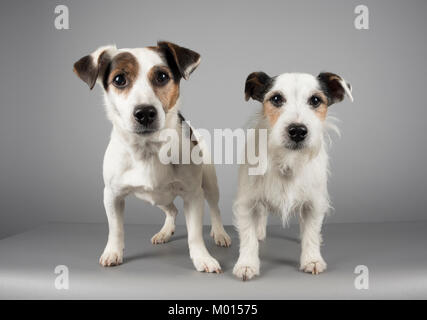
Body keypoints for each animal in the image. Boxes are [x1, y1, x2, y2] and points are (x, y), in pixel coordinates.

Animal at [75, 40, 232, 272]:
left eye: (162, 76)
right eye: (119, 79)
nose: (145, 113)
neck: (148, 149)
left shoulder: (193, 195)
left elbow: (195, 234)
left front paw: (202, 257)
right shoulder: (111, 195)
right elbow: (116, 229)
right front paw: (113, 252)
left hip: (209, 184)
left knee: (215, 208)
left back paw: (220, 233)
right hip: (157, 197)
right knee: (172, 210)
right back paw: (165, 232)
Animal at [232, 70, 352, 280]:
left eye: (315, 100)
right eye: (276, 98)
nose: (297, 131)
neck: (288, 160)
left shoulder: (314, 204)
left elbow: (311, 233)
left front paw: (312, 259)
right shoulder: (247, 202)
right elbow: (248, 236)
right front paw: (247, 264)